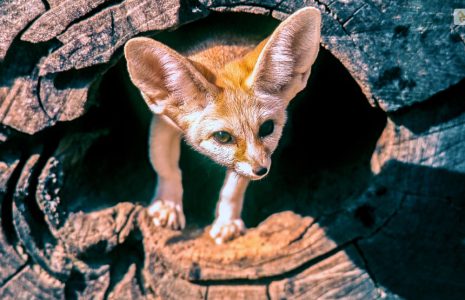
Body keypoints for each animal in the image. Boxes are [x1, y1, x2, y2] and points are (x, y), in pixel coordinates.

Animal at [123, 7, 320, 244]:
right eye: (222, 137)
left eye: (267, 128)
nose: (261, 170)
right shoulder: (163, 122)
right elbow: (165, 166)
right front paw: (168, 205)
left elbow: (232, 189)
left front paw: (227, 222)